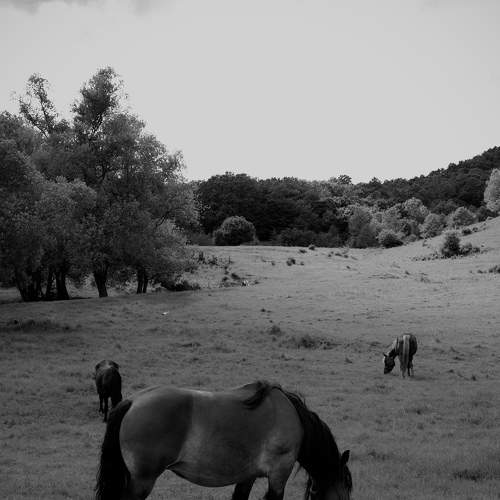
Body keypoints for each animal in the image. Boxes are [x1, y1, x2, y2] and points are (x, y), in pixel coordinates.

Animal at [95, 380, 352, 500]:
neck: (291, 416)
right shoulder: (278, 475)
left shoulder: (247, 477)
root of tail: (133, 401)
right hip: (142, 481)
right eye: (346, 490)